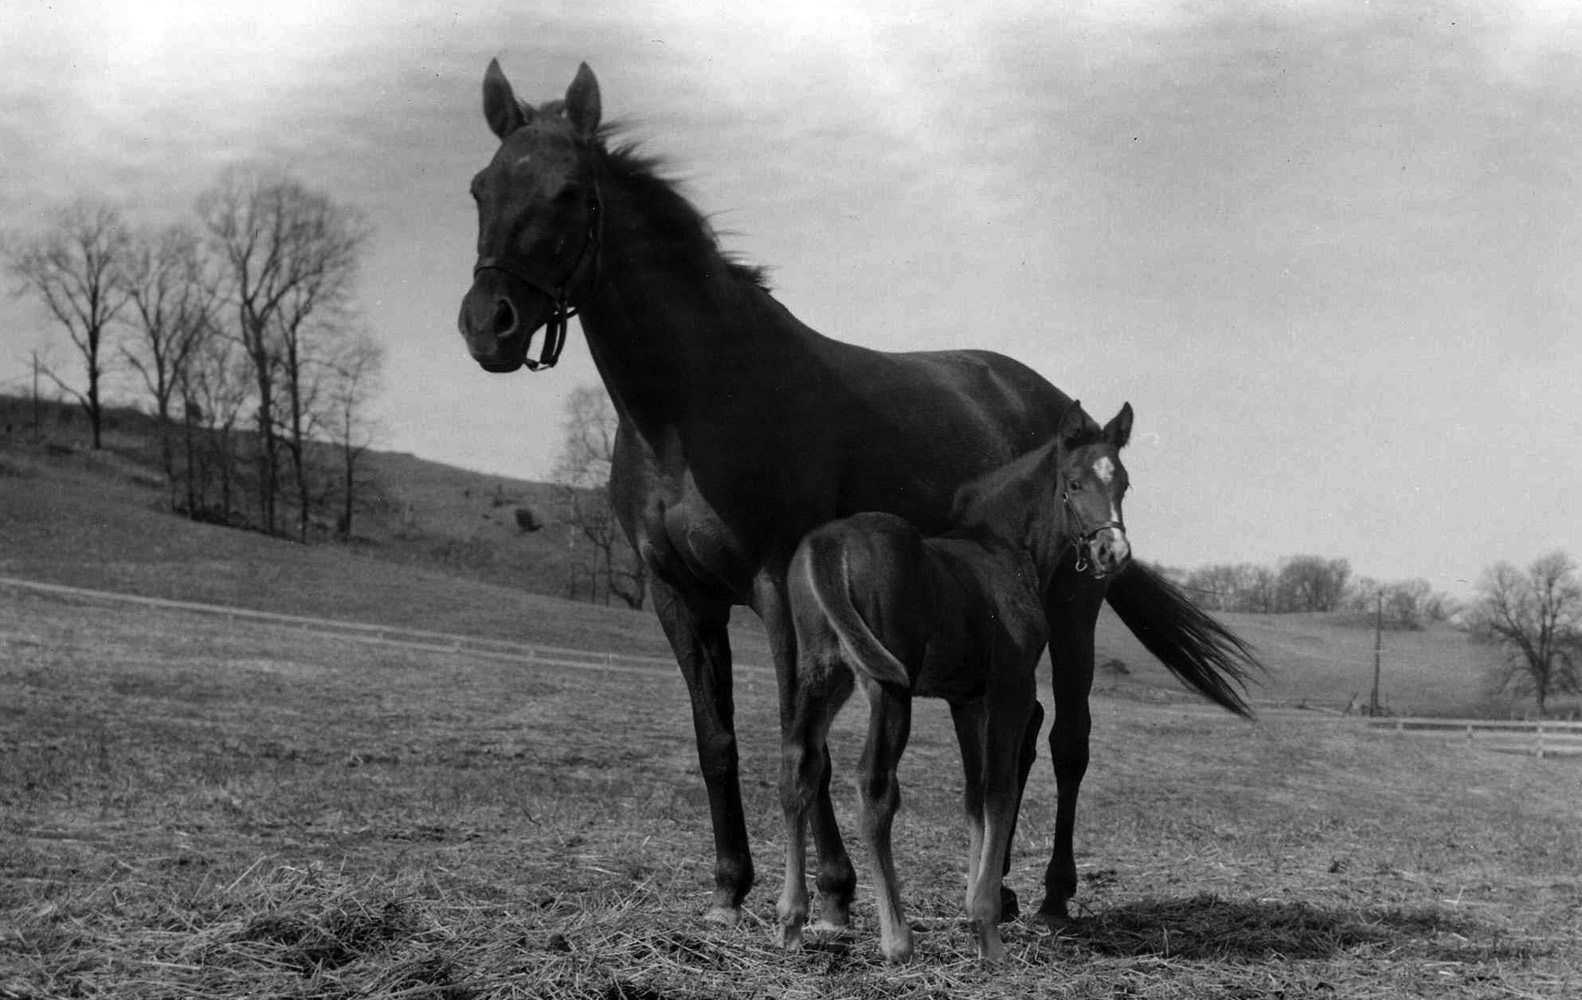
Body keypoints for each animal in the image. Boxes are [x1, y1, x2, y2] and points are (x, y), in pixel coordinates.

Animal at [781, 400, 1132, 968]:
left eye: (1123, 481)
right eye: (1073, 483)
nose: (1111, 552)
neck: (1007, 548)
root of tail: (829, 543)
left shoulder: (966, 701)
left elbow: (973, 796)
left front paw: (976, 917)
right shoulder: (1012, 689)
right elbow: (1000, 791)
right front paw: (988, 928)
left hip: (820, 676)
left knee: (798, 766)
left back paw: (790, 921)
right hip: (888, 685)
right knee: (874, 786)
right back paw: (896, 940)